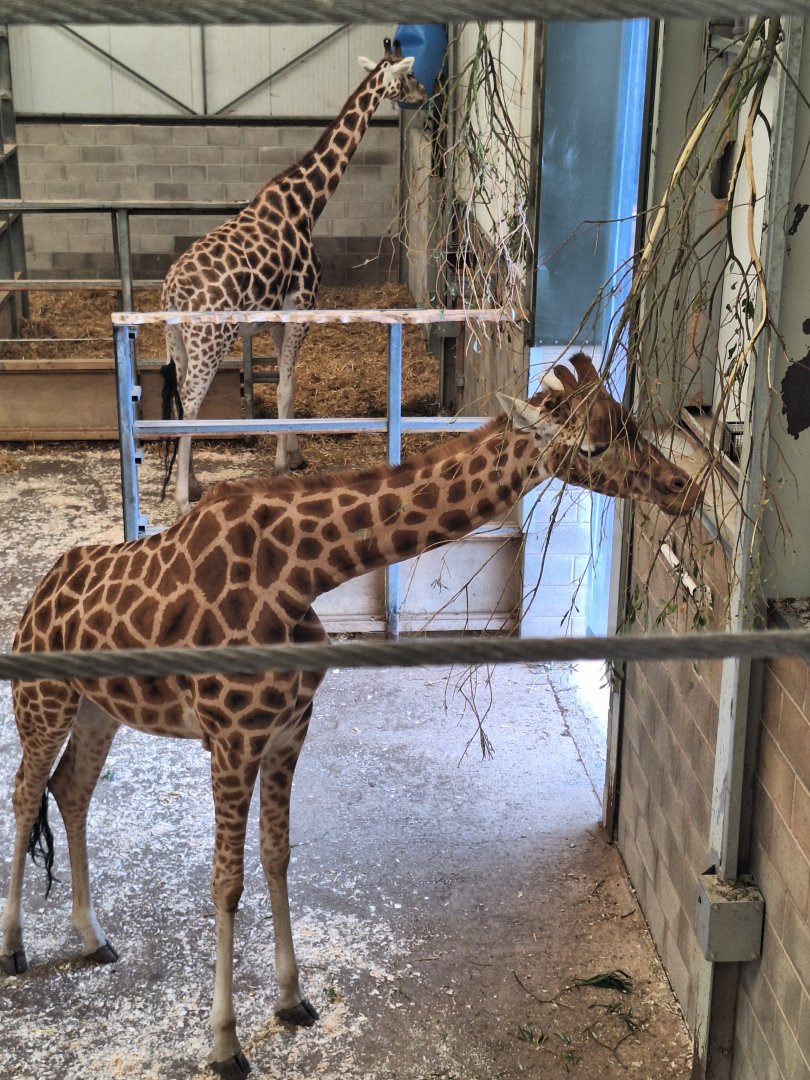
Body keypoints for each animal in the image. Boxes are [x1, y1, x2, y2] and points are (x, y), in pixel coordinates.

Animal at [2, 354, 701, 1079]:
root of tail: (37, 596)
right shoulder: (232, 738)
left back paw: (94, 937)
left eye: (629, 420)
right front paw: (224, 1044)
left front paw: (291, 1000)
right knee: (26, 793)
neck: (300, 575)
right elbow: (226, 882)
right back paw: (15, 947)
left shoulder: (289, 730)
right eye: (591, 446)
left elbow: (277, 856)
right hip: (45, 703)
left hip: (97, 710)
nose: (685, 487)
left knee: (70, 791)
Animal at [162, 38, 427, 515]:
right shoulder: (302, 304)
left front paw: (296, 455)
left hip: (176, 339)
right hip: (211, 337)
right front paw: (283, 465)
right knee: (191, 400)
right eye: (409, 75)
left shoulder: (276, 316)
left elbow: (291, 382)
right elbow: (285, 388)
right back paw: (182, 498)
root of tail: (173, 290)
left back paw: (192, 480)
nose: (426, 94)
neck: (306, 203)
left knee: (178, 401)